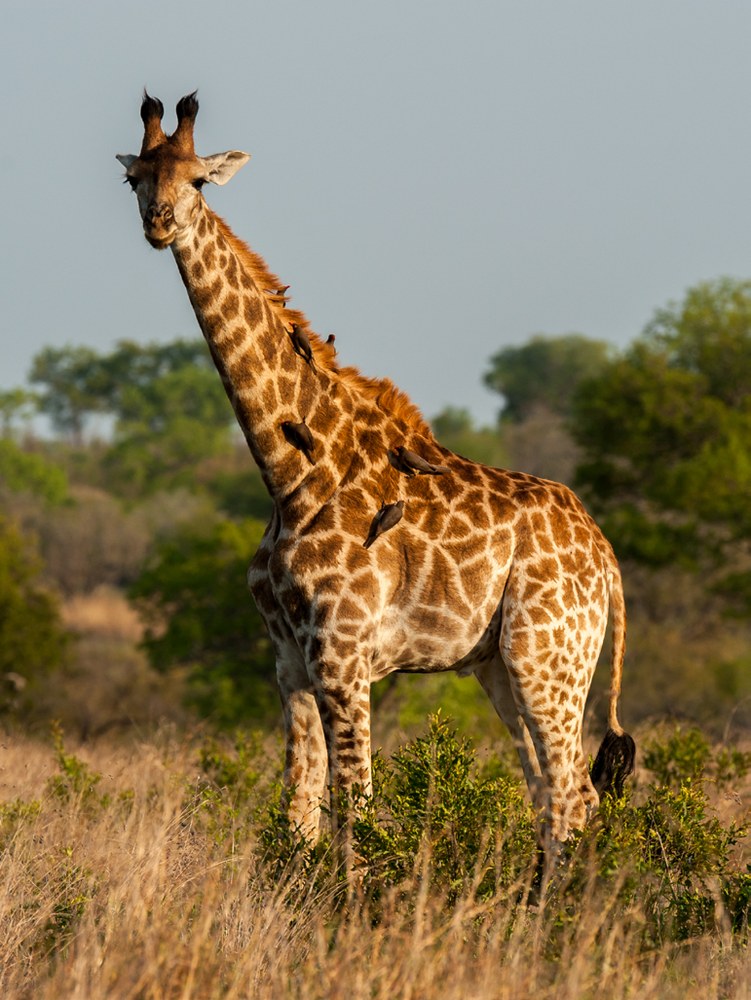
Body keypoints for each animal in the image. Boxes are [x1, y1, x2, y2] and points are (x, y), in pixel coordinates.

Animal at [117, 92, 635, 866]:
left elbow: (353, 809)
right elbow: (299, 809)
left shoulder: (344, 653)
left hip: (548, 656)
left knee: (575, 794)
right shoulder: (288, 662)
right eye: (136, 180)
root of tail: (605, 559)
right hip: (501, 666)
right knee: (551, 794)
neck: (289, 475)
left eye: (200, 180)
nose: (159, 222)